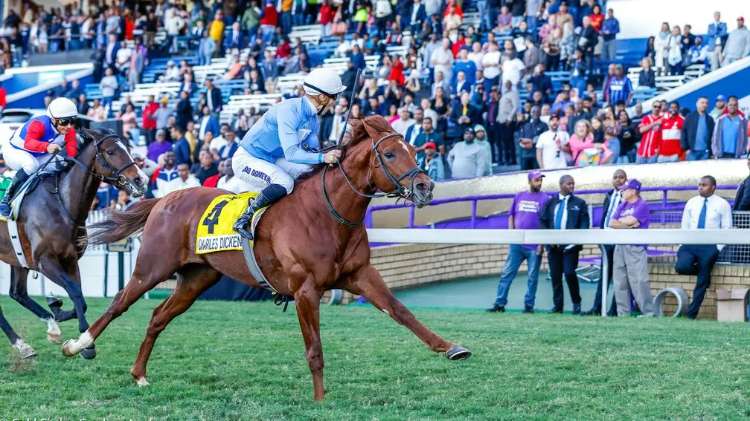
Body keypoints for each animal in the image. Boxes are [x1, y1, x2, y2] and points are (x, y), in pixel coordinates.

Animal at [0, 128, 146, 359]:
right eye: (111, 151)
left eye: (129, 149)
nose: (140, 179)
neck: (61, 204)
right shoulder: (45, 262)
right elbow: (75, 292)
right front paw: (86, 344)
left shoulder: (69, 259)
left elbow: (80, 299)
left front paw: (58, 311)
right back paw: (21, 343)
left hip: (16, 257)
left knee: (18, 293)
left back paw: (34, 337)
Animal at [61, 115, 471, 400]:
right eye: (389, 153)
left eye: (414, 151)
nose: (425, 186)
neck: (328, 213)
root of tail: (165, 199)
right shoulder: (305, 288)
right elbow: (314, 349)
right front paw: (320, 400)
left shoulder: (362, 275)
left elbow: (402, 312)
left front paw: (451, 347)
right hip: (151, 268)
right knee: (118, 304)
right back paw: (78, 345)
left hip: (196, 278)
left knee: (158, 316)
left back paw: (140, 373)